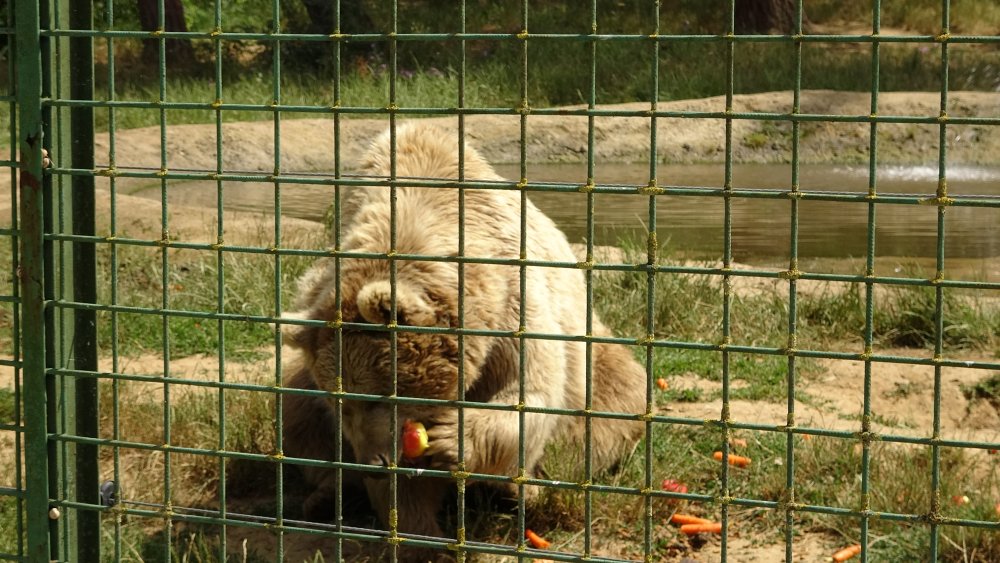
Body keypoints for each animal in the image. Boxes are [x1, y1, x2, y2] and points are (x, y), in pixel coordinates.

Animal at [280, 124, 648, 563]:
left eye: (374, 396)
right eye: (342, 405)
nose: (372, 462)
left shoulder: (512, 303)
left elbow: (530, 391)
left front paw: (450, 440)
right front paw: (421, 536)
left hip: (597, 364)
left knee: (606, 416)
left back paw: (529, 492)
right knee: (295, 411)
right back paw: (327, 495)